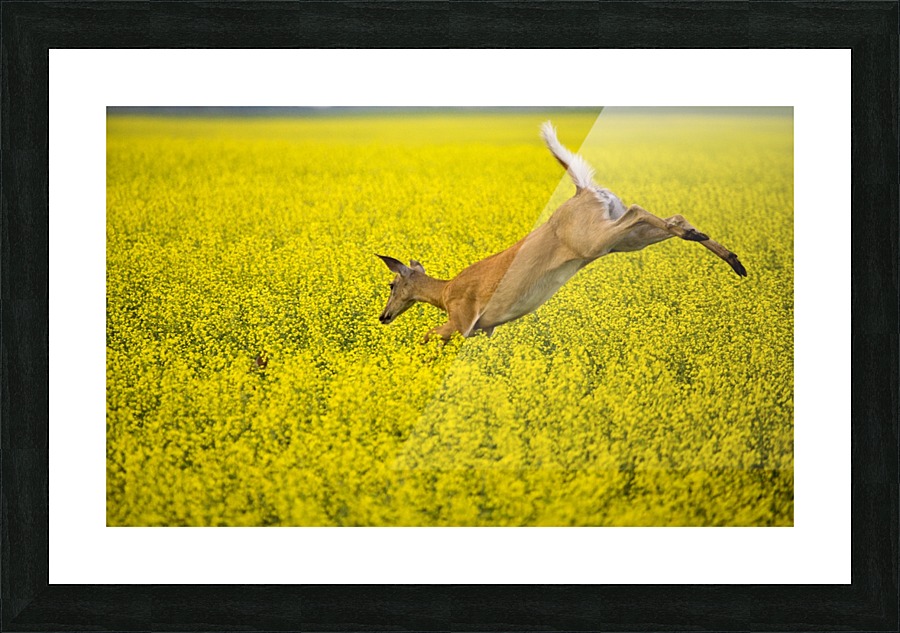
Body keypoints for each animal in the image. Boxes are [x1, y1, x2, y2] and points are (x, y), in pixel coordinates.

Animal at [377, 121, 746, 343]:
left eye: (392, 285)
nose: (383, 316)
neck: (444, 292)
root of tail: (583, 190)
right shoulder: (486, 329)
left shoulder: (463, 320)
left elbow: (429, 335)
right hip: (622, 241)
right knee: (673, 217)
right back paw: (729, 257)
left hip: (595, 239)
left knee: (639, 209)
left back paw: (718, 251)